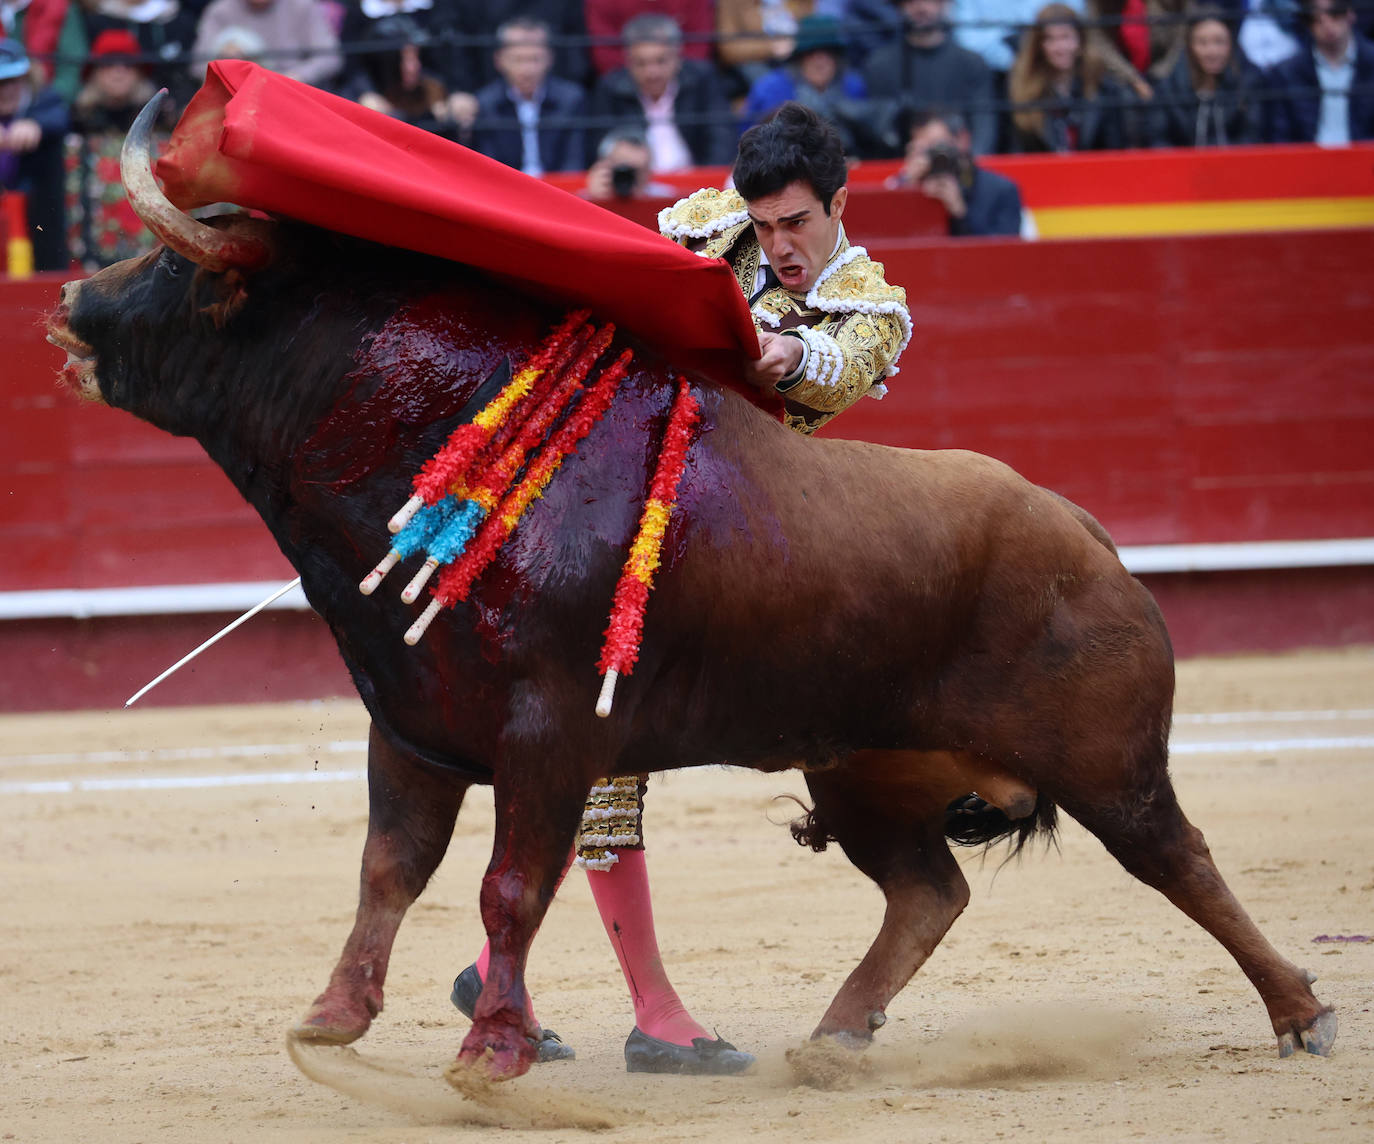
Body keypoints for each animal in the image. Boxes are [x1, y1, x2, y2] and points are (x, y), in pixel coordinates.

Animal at [42, 107, 1330, 1082]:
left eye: (175, 263)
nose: (67, 305)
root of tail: (1089, 534)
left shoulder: (549, 734)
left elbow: (511, 884)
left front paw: (491, 1051)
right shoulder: (410, 718)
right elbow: (389, 870)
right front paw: (334, 1019)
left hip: (1107, 762)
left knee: (1182, 860)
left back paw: (1300, 1013)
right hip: (866, 767)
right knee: (929, 890)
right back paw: (829, 1038)